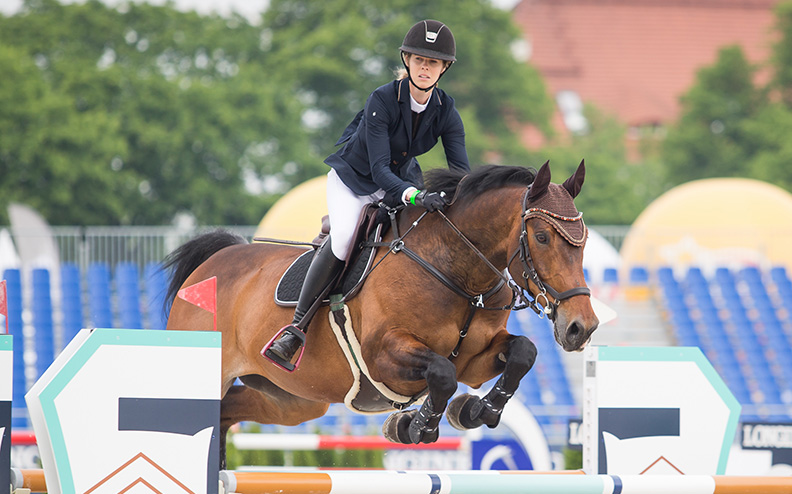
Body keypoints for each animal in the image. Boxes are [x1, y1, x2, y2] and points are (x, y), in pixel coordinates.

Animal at [163, 161, 599, 466]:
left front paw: (475, 411)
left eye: (584, 241)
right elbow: (443, 372)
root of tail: (215, 261)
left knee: (227, 413)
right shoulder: (384, 356)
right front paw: (415, 426)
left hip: (293, 398)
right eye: (541, 237)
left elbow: (523, 353)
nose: (582, 327)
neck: (456, 269)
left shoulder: (477, 360)